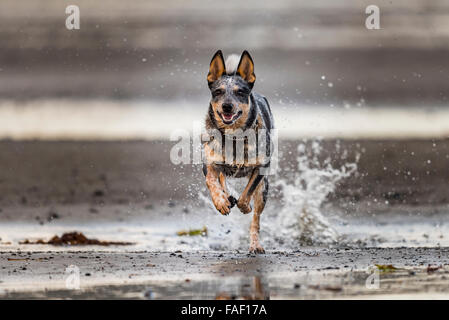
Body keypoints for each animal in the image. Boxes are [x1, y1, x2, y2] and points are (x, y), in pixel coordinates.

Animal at [202, 50, 272, 255]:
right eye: (218, 91)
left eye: (240, 92)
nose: (227, 106)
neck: (234, 138)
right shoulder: (209, 162)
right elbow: (212, 181)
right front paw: (221, 202)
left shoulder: (262, 166)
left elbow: (246, 194)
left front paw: (245, 206)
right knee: (222, 180)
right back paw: (227, 198)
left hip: (264, 189)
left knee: (256, 220)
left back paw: (255, 244)